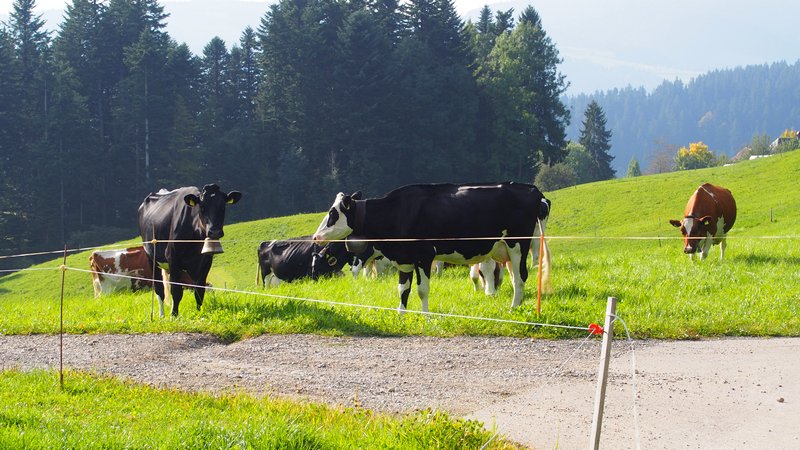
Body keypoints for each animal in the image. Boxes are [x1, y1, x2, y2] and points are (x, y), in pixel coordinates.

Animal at [138, 183, 241, 316]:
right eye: (202, 207)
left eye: (223, 206)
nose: (214, 232)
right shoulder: (173, 258)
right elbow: (176, 290)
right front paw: (173, 315)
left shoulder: (205, 261)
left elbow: (199, 290)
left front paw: (199, 313)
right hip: (151, 257)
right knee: (159, 289)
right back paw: (162, 315)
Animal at [310, 181, 552, 312]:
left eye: (332, 214)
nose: (315, 237)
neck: (399, 211)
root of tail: (532, 189)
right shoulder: (404, 259)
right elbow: (402, 289)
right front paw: (401, 315)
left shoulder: (424, 255)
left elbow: (422, 290)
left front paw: (426, 316)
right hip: (506, 249)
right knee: (512, 275)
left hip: (518, 245)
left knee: (520, 277)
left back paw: (513, 308)